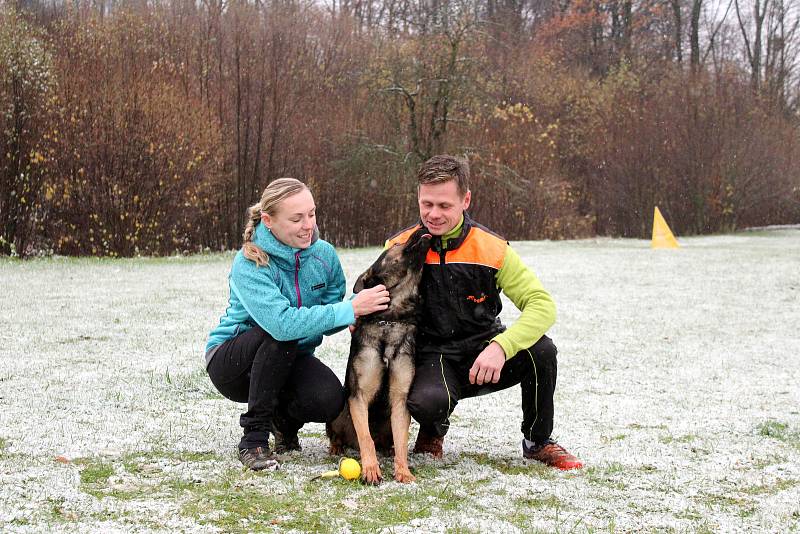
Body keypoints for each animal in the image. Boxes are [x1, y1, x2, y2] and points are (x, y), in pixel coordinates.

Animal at [324, 227, 432, 486]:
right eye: (396, 244)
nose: (424, 227)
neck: (389, 319)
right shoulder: (359, 397)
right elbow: (366, 438)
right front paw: (371, 469)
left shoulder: (401, 400)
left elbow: (402, 441)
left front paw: (403, 471)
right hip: (339, 410)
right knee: (341, 436)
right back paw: (336, 447)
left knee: (390, 441)